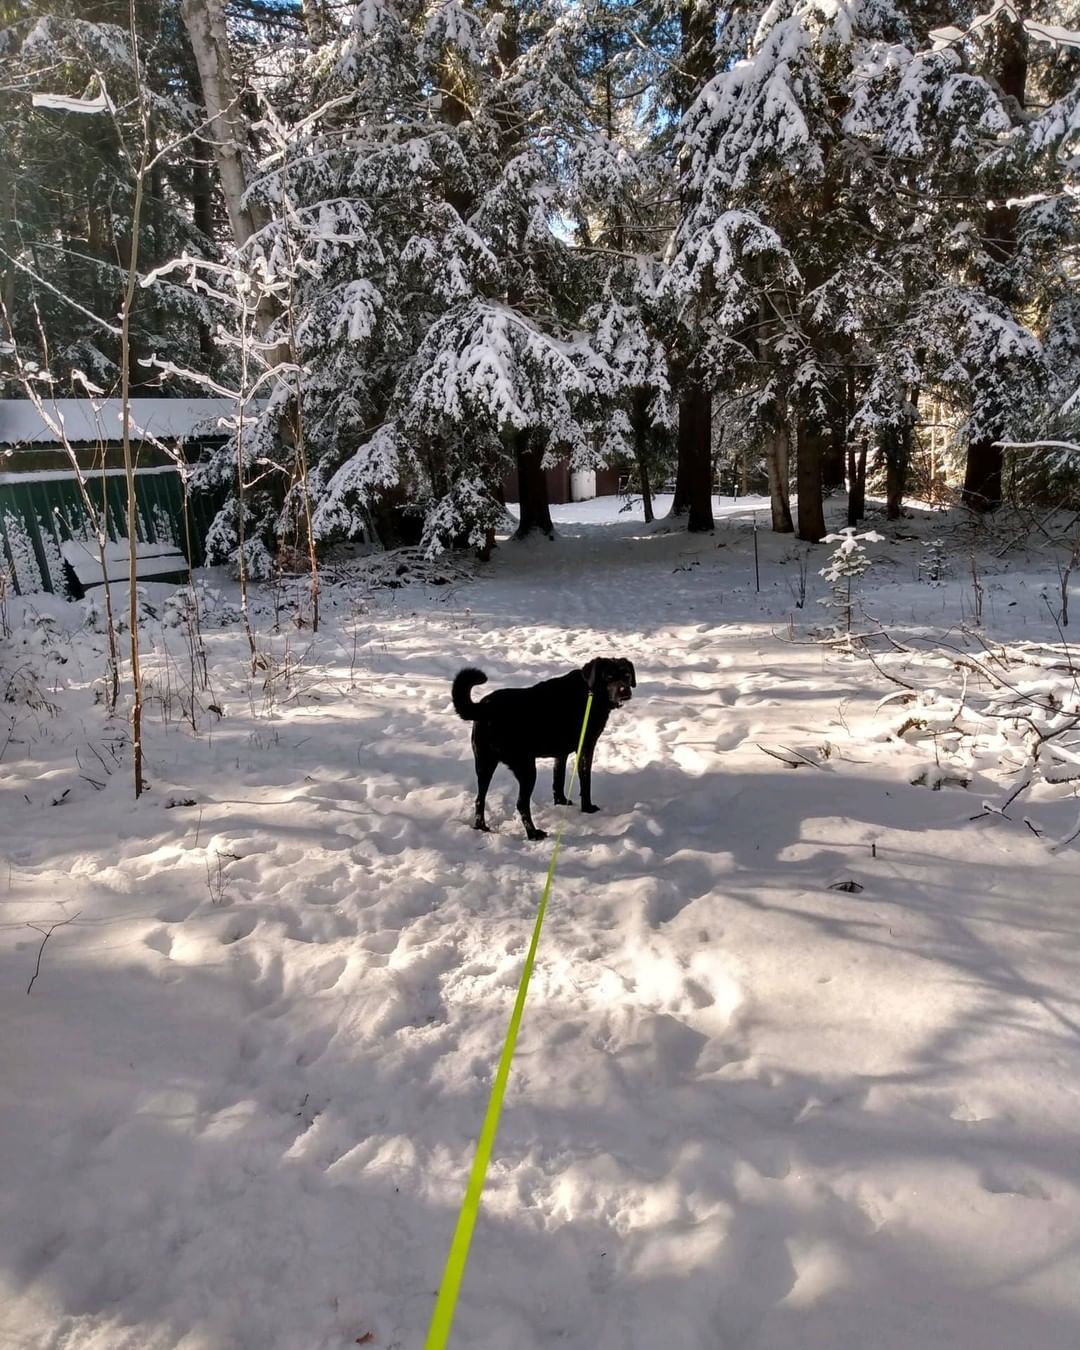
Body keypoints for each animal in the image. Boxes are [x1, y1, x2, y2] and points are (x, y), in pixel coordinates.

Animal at [450, 658, 637, 837]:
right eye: (609, 677)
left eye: (627, 675)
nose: (625, 691)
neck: (590, 691)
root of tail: (484, 708)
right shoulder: (585, 747)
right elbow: (585, 782)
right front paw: (588, 808)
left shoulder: (561, 753)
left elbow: (558, 778)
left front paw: (561, 802)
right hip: (526, 768)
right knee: (521, 804)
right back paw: (533, 833)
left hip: (485, 764)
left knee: (479, 798)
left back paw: (481, 826)